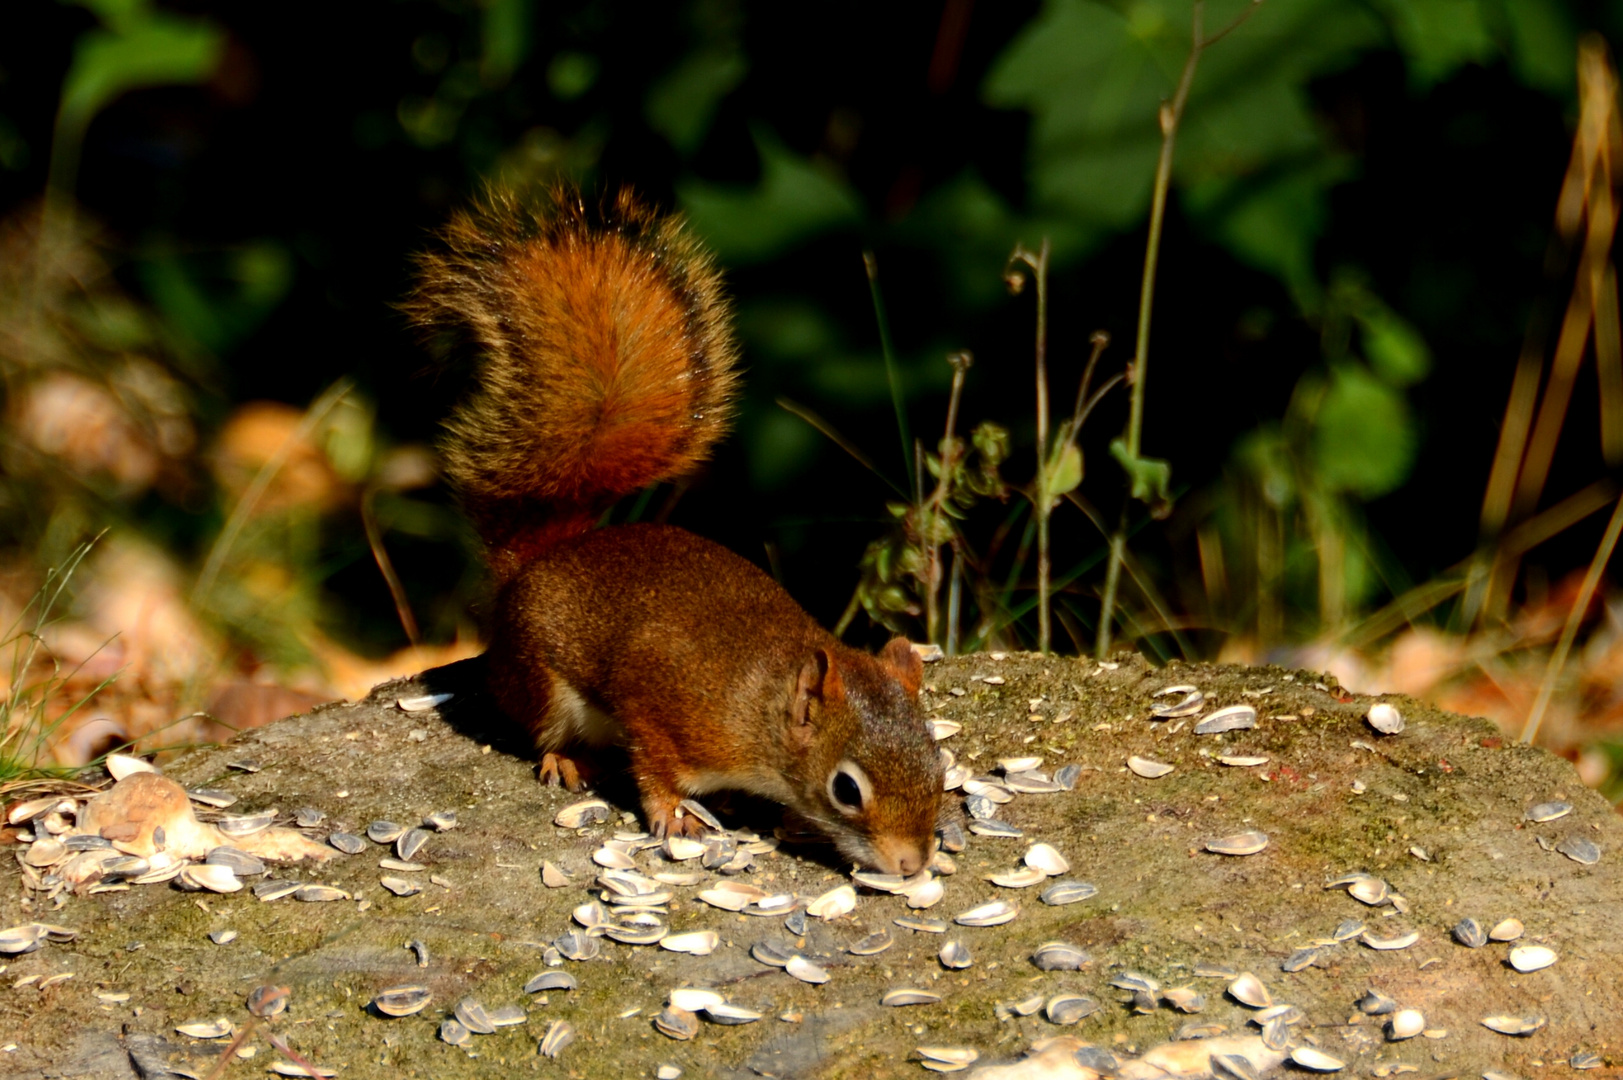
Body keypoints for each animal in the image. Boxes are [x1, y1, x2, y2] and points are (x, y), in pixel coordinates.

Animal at [405, 185, 947, 876]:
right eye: (846, 790)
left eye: (938, 764)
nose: (912, 865)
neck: (760, 705)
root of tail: (541, 557)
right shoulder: (665, 712)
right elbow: (656, 768)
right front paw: (671, 813)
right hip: (540, 677)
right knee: (540, 726)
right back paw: (566, 758)